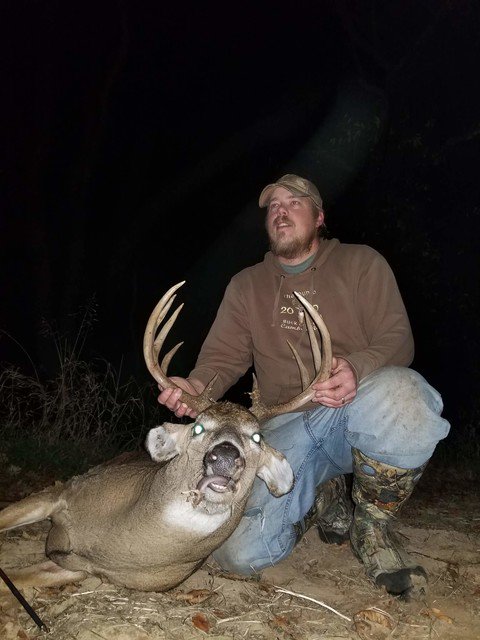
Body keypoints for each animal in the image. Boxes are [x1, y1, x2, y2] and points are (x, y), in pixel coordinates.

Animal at [0, 282, 332, 593]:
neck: (114, 539)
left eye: (256, 438)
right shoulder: (63, 491)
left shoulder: (82, 569)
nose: (224, 457)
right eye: (198, 427)